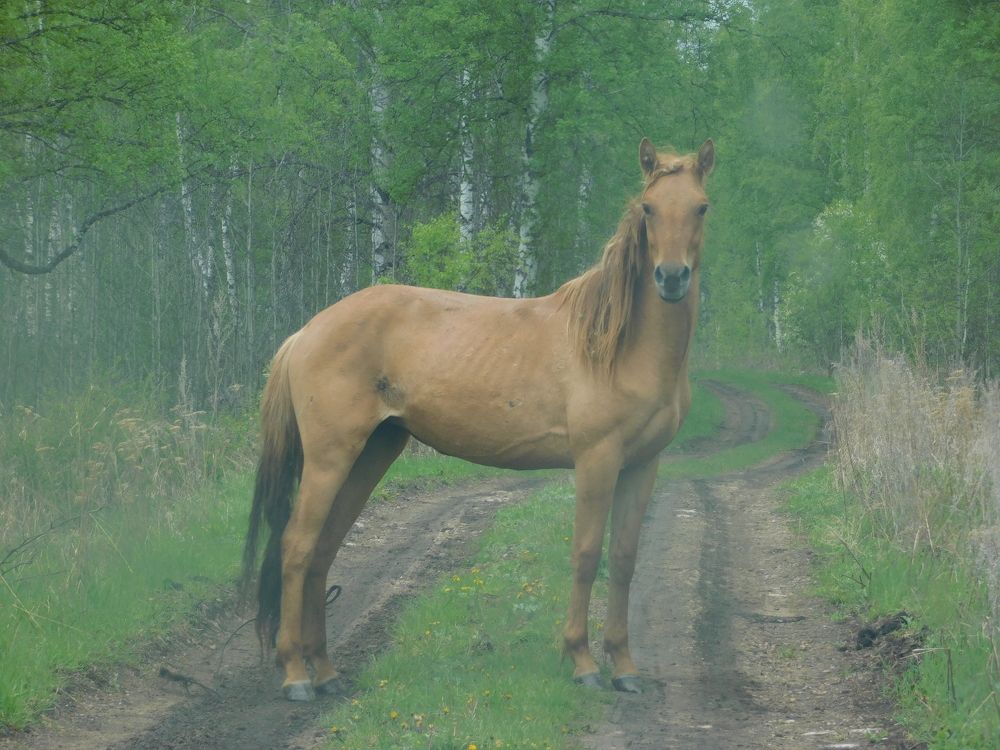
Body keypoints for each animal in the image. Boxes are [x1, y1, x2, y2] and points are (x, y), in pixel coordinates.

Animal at [242, 137, 715, 701]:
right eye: (648, 208)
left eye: (701, 207)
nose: (671, 277)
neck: (618, 344)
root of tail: (307, 331)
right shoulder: (597, 460)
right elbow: (585, 555)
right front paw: (581, 661)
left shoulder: (643, 465)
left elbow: (622, 559)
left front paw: (624, 667)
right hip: (330, 458)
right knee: (296, 547)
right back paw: (295, 674)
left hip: (371, 454)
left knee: (323, 550)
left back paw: (326, 671)